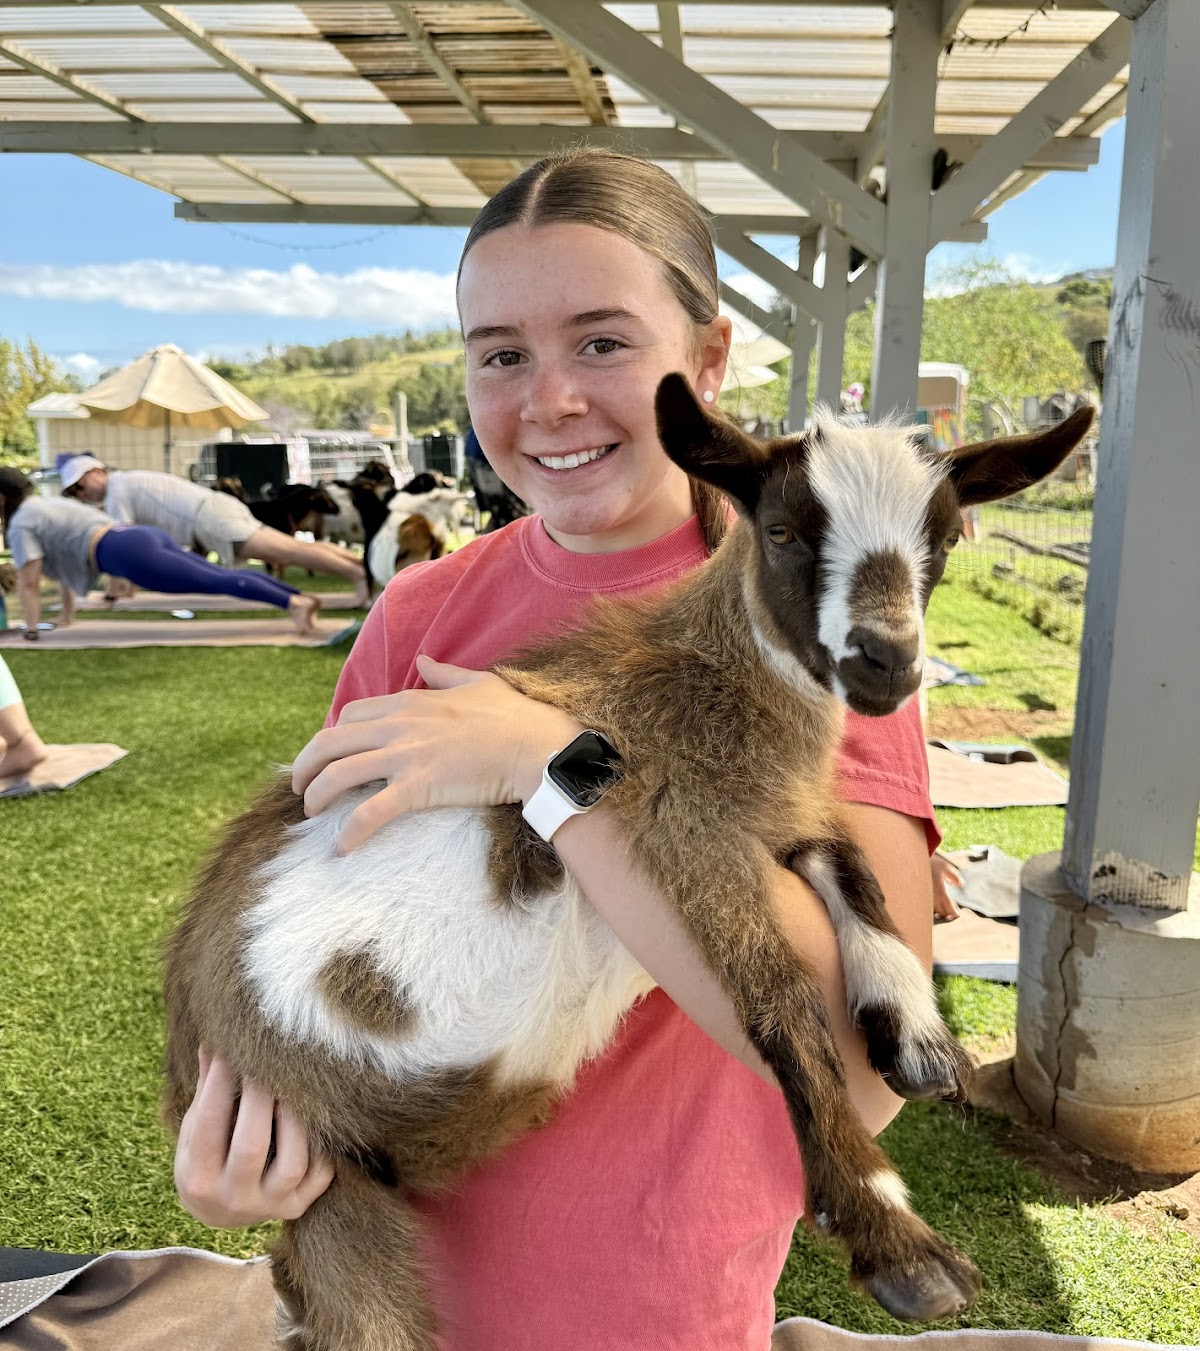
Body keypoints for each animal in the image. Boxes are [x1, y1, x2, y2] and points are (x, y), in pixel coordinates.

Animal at [162, 376, 1094, 1350]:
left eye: (943, 538)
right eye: (783, 529)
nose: (887, 660)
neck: (715, 680)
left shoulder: (768, 814)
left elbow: (852, 865)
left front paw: (915, 1036)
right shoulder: (682, 825)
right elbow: (784, 999)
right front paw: (900, 1243)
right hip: (313, 1144)